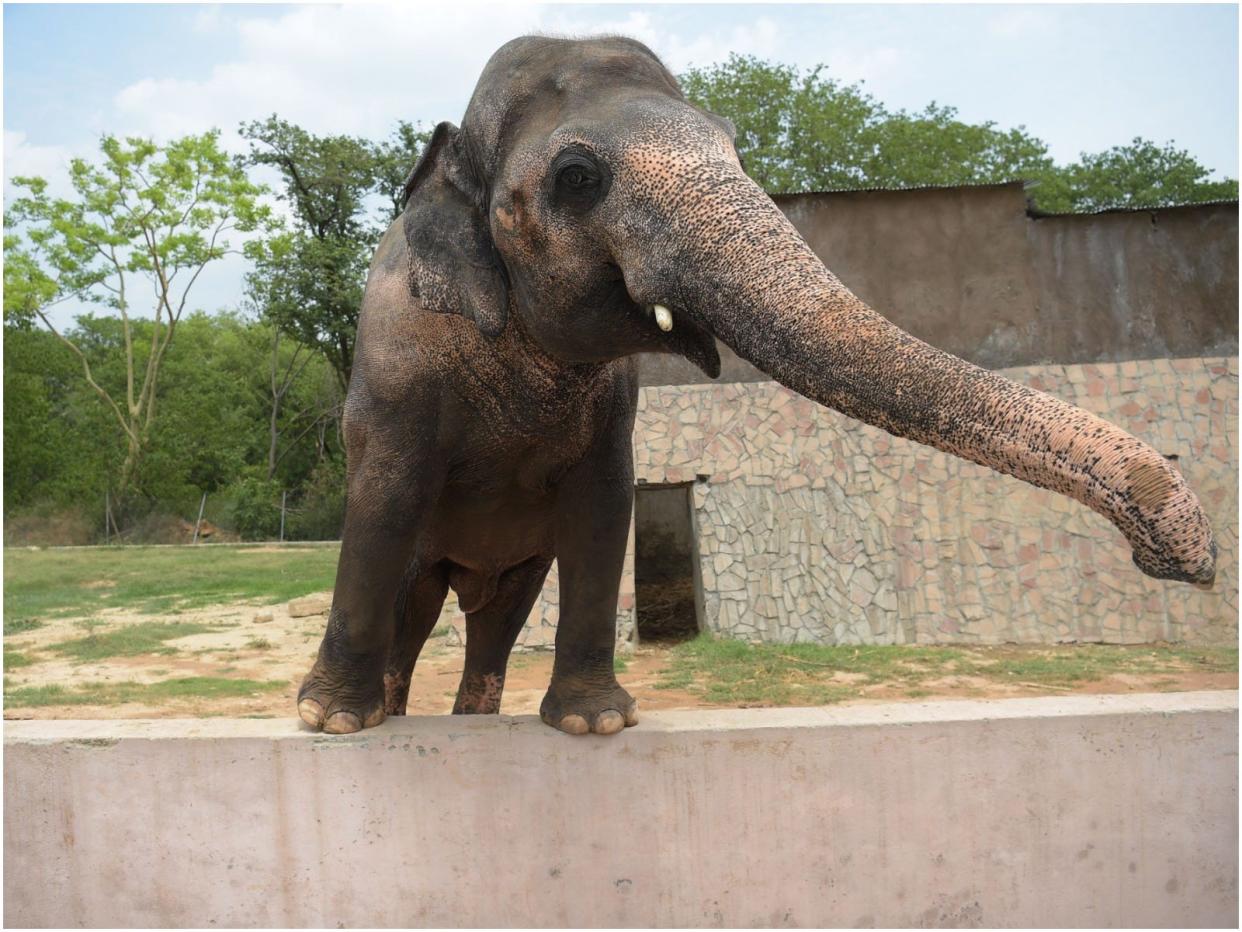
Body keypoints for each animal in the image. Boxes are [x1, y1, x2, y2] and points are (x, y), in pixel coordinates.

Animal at [298, 34, 1212, 735]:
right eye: (577, 178)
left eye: (736, 147)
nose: (1179, 562)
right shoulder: (395, 368)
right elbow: (386, 496)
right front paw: (330, 721)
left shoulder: (614, 403)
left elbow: (603, 506)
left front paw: (596, 723)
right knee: (417, 601)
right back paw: (382, 712)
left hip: (509, 576)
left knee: (498, 616)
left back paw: (471, 720)